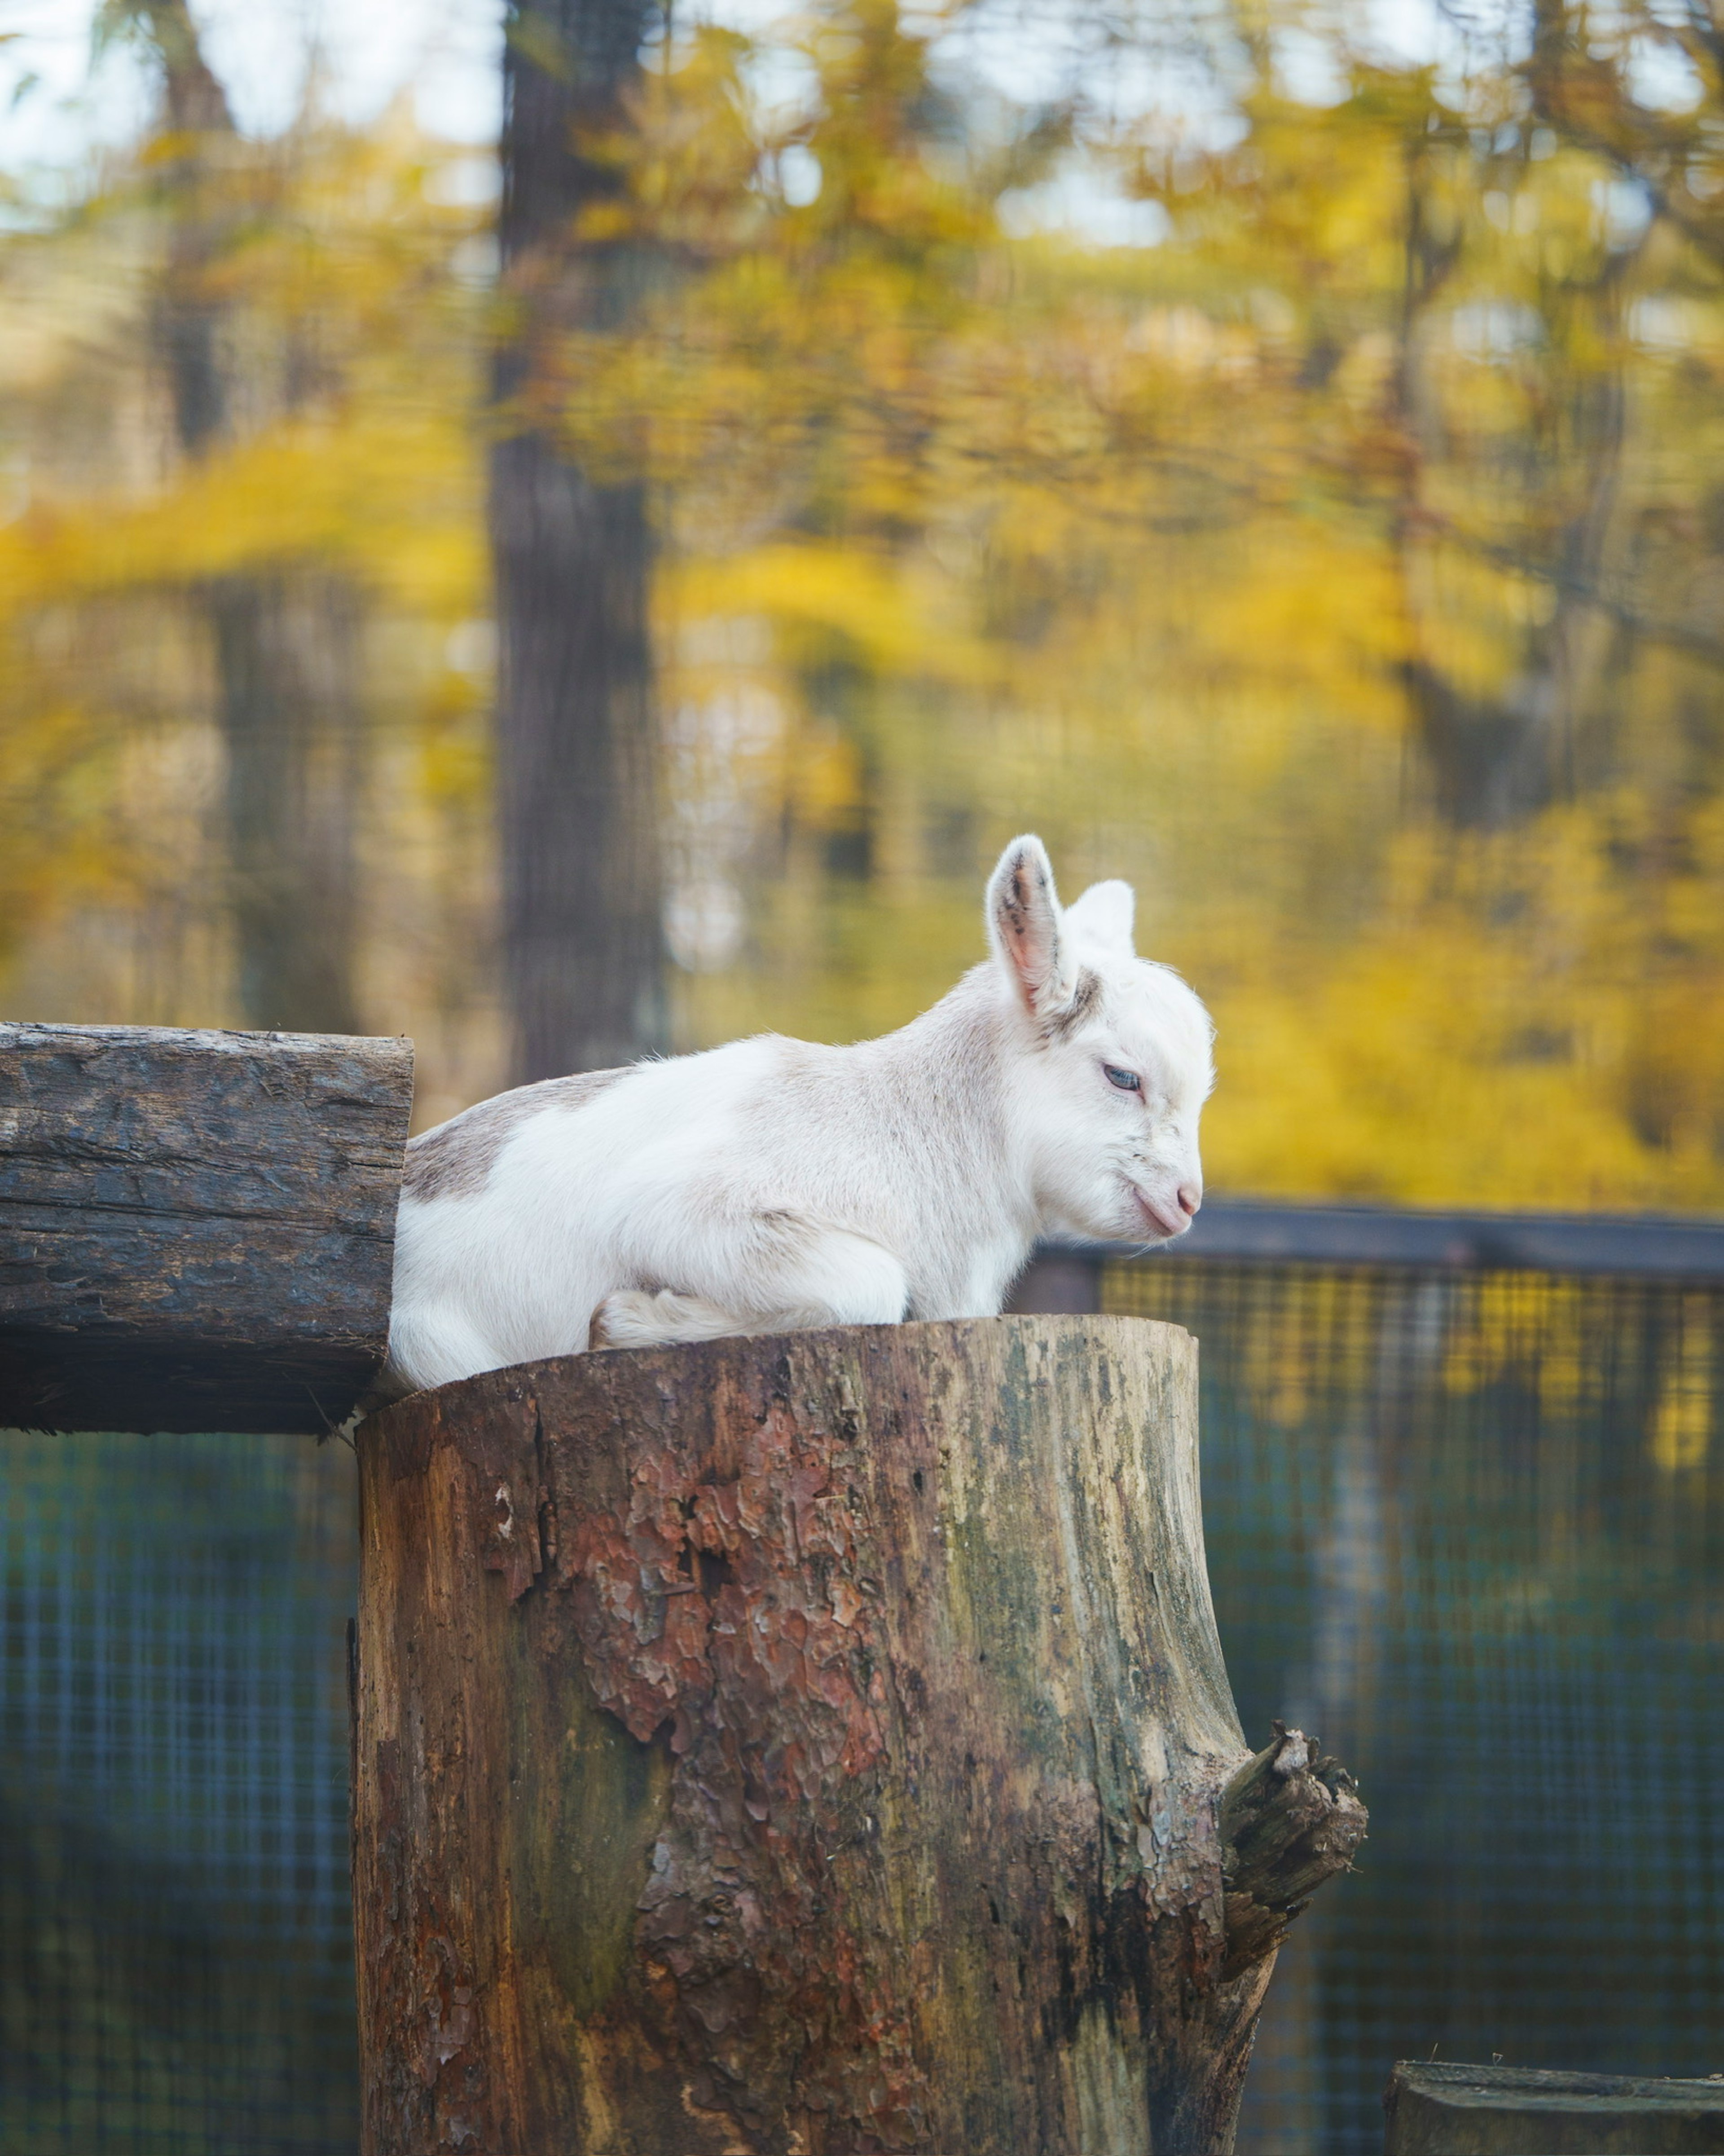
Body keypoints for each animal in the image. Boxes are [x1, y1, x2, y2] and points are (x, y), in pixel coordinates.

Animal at [377, 823, 1215, 1397]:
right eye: (1123, 1076)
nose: (1186, 1201)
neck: (908, 1131)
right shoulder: (676, 1203)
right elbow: (872, 1282)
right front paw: (628, 1324)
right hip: (426, 1342)